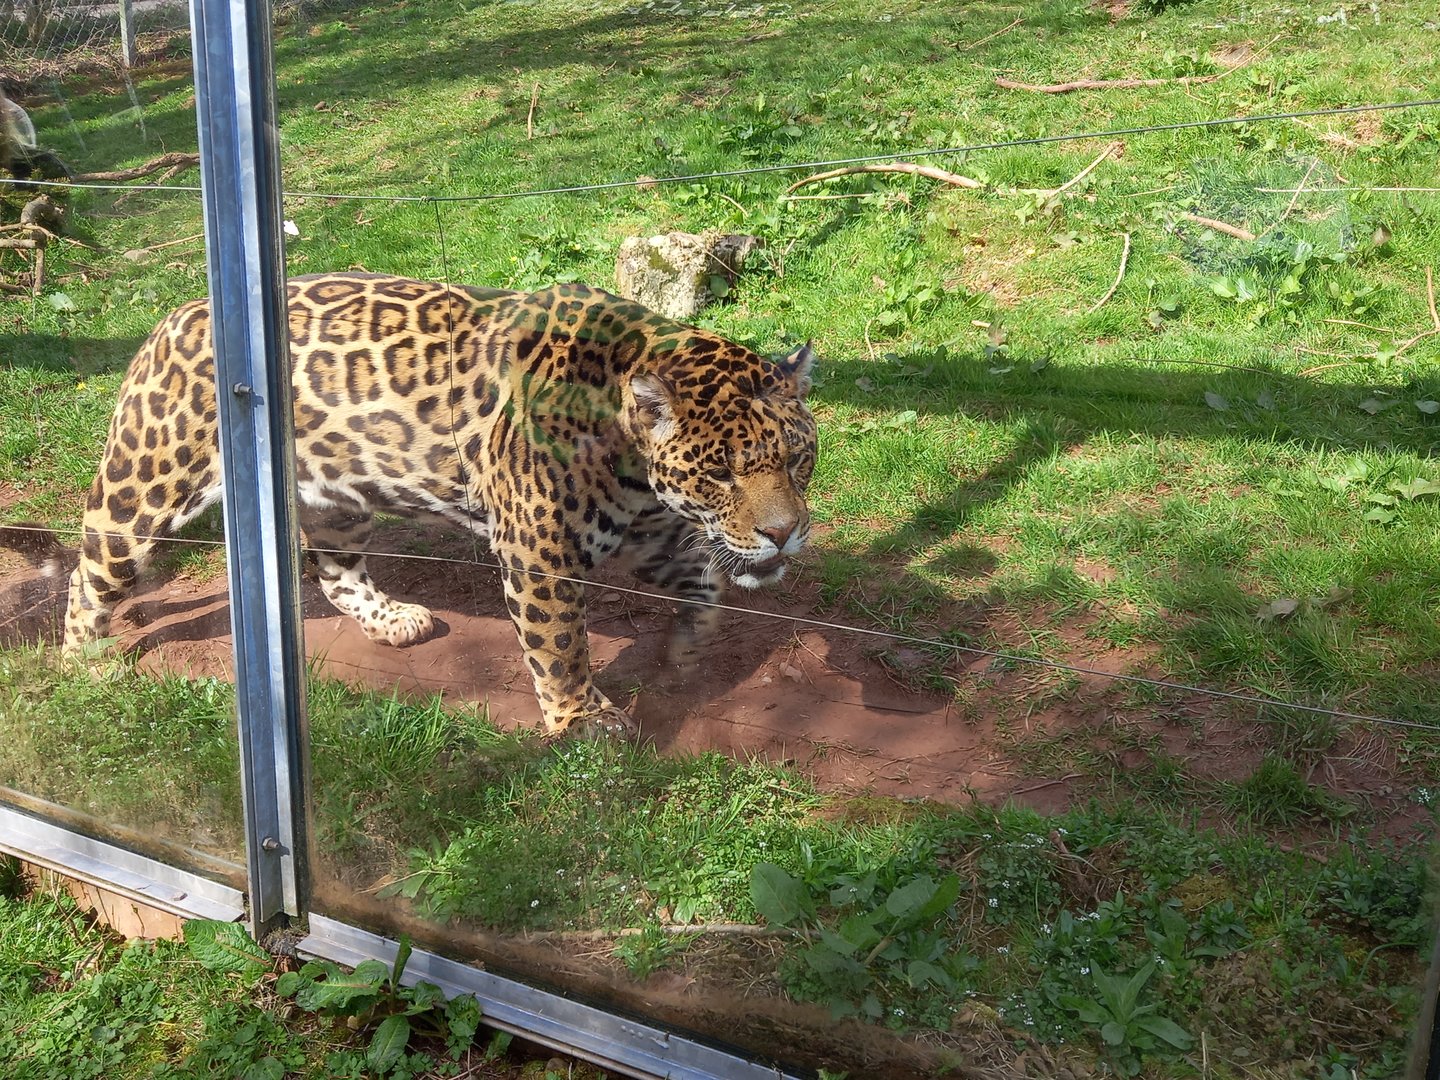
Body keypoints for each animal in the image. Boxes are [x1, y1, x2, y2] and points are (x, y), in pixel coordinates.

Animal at [59, 272, 816, 738]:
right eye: (720, 473)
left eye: (796, 458)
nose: (785, 534)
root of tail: (169, 322)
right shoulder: (539, 554)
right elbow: (560, 645)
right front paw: (580, 721)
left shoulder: (649, 536)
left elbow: (706, 580)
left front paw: (689, 645)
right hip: (144, 486)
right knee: (88, 571)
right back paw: (80, 663)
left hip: (336, 497)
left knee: (336, 573)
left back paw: (392, 619)